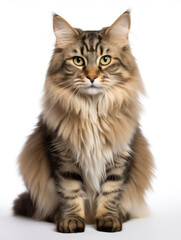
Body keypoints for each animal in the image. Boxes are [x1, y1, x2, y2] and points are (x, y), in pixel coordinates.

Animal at [12, 10, 154, 232]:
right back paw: (58, 216)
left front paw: (108, 219)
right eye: (78, 61)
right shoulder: (63, 154)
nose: (92, 77)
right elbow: (71, 190)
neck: (92, 109)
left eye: (105, 60)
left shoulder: (120, 155)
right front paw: (71, 220)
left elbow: (111, 190)